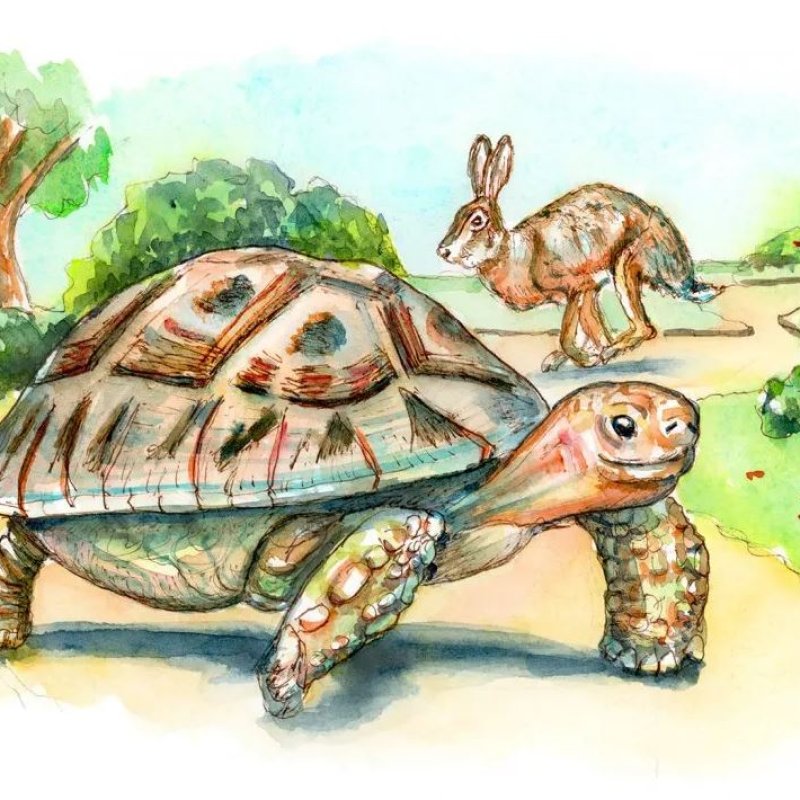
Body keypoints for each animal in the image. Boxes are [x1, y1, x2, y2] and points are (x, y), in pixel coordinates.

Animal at [437, 134, 722, 371]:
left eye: (477, 221)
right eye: (457, 215)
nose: (443, 250)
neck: (513, 252)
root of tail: (681, 270)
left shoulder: (577, 287)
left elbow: (568, 334)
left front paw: (589, 359)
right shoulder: (588, 291)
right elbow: (591, 328)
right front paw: (583, 357)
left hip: (626, 264)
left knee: (645, 328)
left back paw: (610, 352)